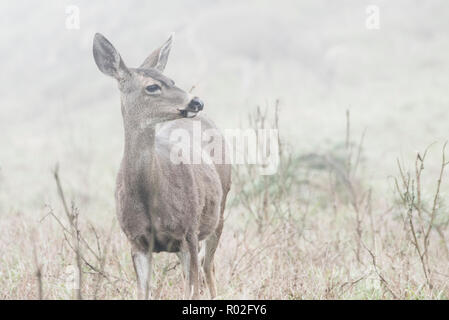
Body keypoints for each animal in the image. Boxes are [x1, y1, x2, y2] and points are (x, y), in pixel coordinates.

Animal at [91, 33, 231, 300]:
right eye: (152, 86)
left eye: (171, 80)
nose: (196, 101)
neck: (150, 196)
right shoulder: (136, 241)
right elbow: (143, 293)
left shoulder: (188, 233)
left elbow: (192, 292)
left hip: (219, 211)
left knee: (209, 266)